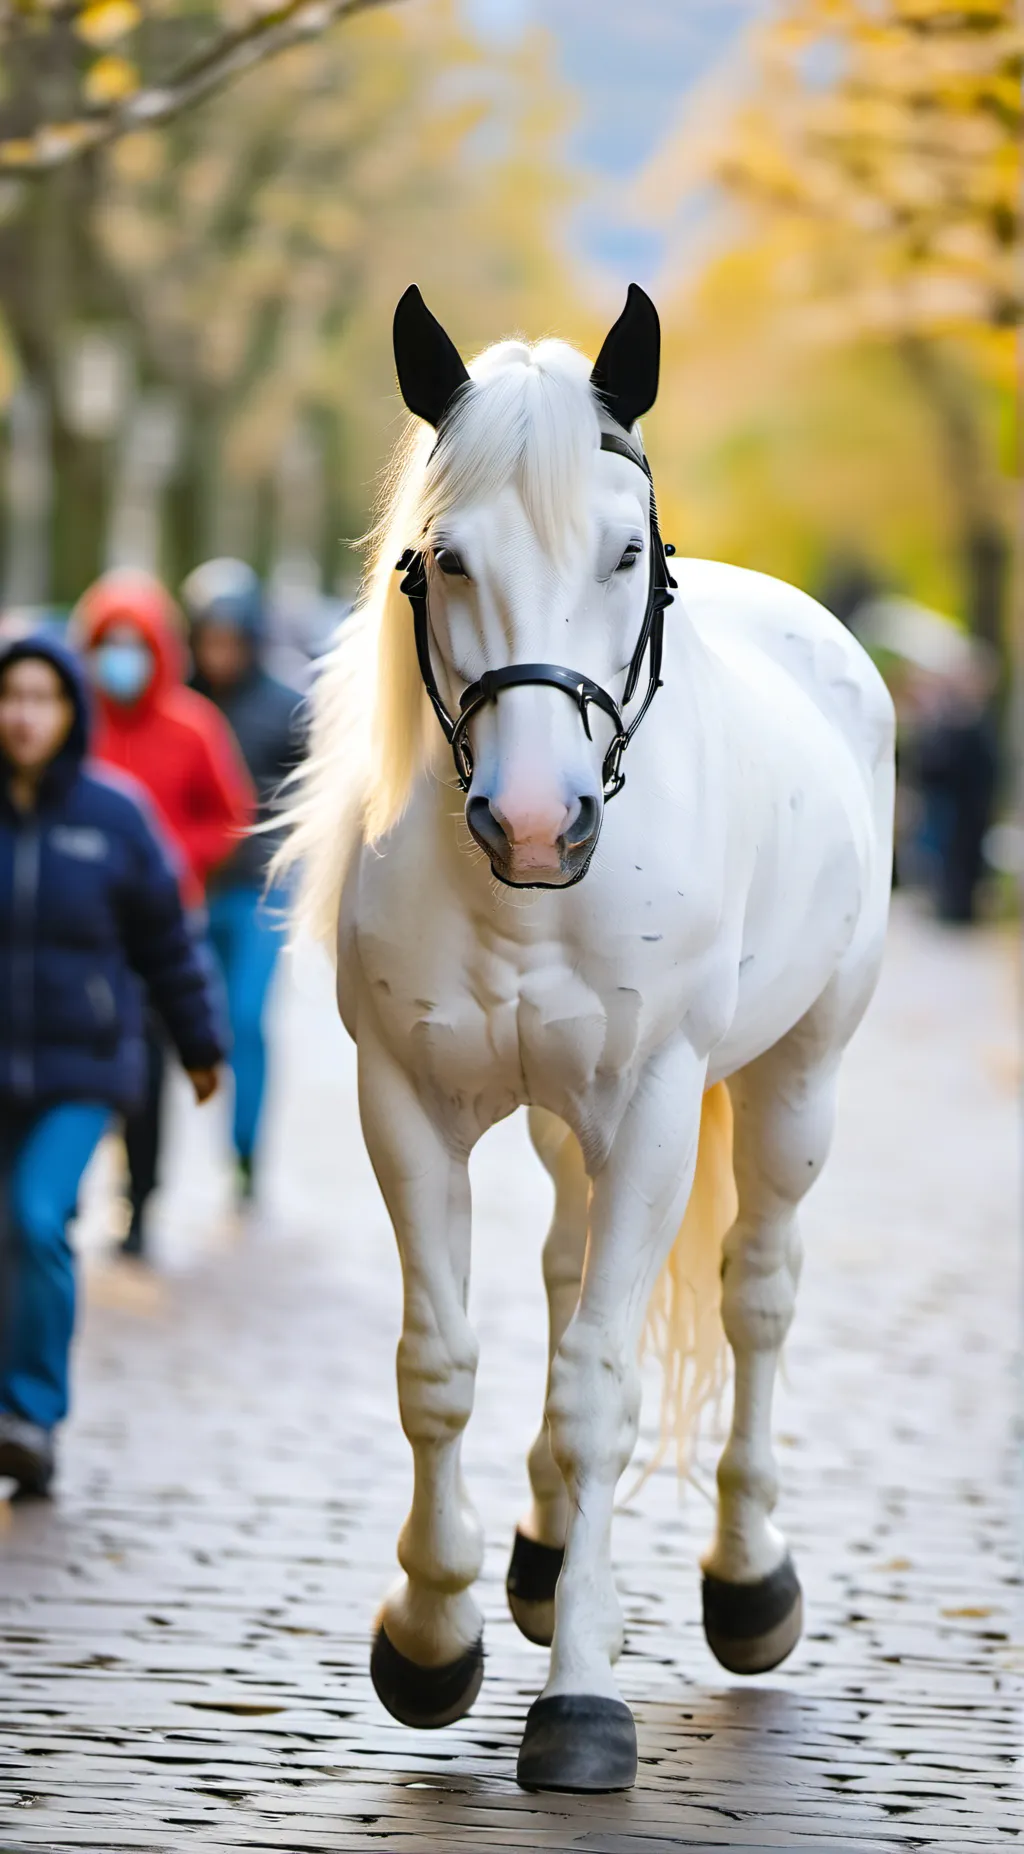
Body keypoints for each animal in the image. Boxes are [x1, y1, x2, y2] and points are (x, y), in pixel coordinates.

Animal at [275, 283, 895, 1793]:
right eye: (444, 558)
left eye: (626, 551)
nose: (535, 819)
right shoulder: (407, 1105)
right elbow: (440, 1369)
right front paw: (429, 1635)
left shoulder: (659, 1112)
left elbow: (601, 1390)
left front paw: (582, 1699)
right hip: (569, 1123)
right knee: (565, 1273)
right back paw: (546, 1556)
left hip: (796, 1083)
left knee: (757, 1294)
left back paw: (746, 1579)